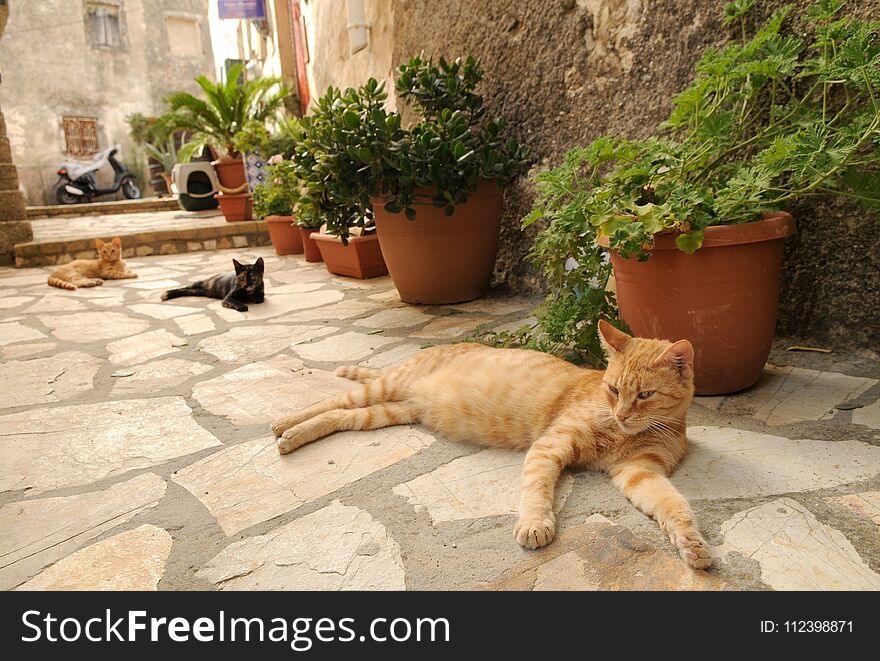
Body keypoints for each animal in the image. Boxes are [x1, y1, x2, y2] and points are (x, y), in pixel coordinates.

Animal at [272, 320, 712, 568]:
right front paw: (535, 524)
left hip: (388, 412)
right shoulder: (551, 445)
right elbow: (537, 489)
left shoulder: (639, 471)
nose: (621, 413)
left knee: (339, 417)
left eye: (645, 396)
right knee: (331, 402)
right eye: (614, 389)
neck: (624, 433)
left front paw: (691, 544)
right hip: (384, 388)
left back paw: (293, 435)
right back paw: (285, 427)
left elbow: (673, 505)